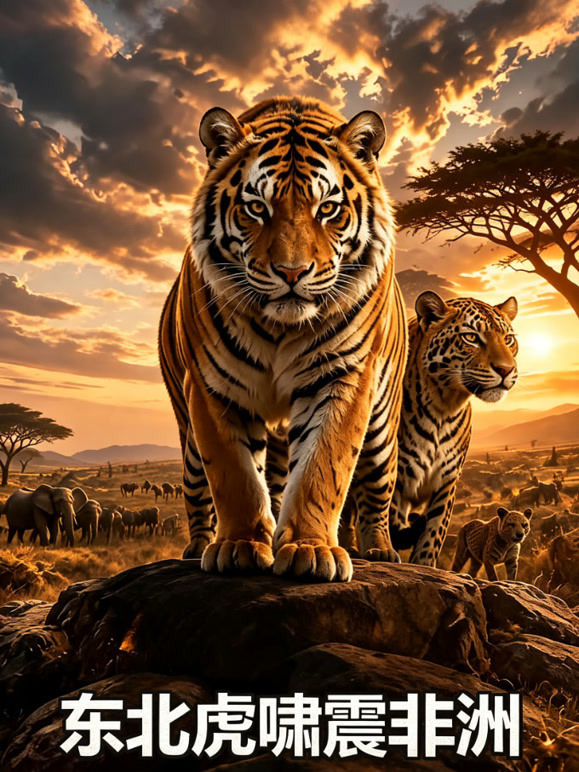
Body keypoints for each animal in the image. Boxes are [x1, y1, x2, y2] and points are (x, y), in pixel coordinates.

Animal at [158, 96, 407, 583]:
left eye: (327, 209)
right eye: (257, 208)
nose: (292, 273)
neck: (281, 327)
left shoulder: (343, 377)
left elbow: (322, 467)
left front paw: (312, 550)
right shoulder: (212, 386)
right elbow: (234, 474)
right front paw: (239, 545)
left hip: (383, 425)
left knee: (376, 487)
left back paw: (380, 550)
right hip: (187, 433)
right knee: (201, 488)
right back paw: (198, 546)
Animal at [376, 291, 519, 567]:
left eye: (508, 339)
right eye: (471, 337)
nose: (506, 370)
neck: (443, 408)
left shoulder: (447, 480)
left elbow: (433, 534)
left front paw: (424, 566)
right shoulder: (397, 477)